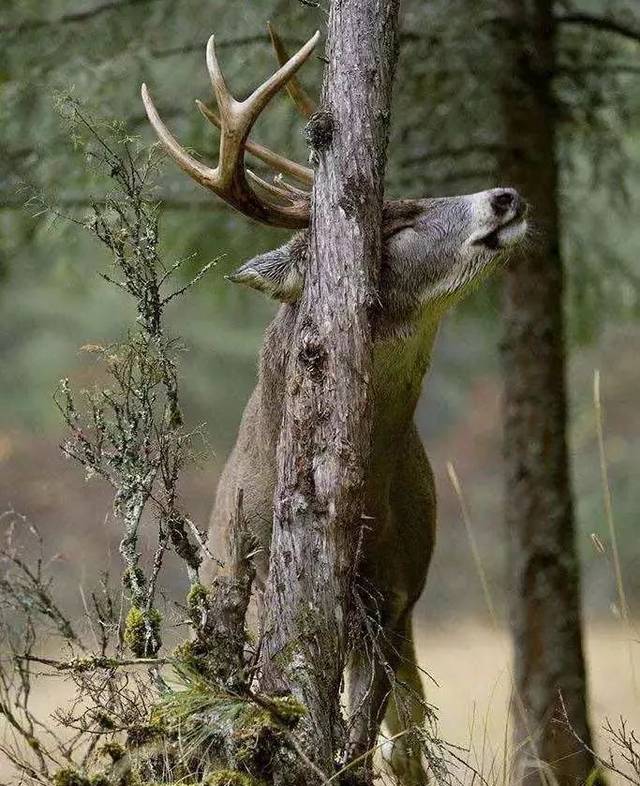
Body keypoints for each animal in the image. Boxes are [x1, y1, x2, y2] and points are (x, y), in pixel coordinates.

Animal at [142, 24, 528, 784]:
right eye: (397, 223)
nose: (506, 195)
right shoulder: (270, 588)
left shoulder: (397, 598)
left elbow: (384, 742)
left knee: (408, 732)